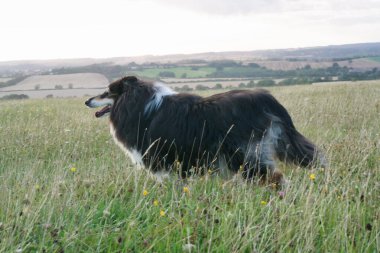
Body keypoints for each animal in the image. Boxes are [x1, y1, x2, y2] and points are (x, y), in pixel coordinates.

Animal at [86, 75, 326, 186]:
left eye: (106, 92)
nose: (86, 101)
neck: (139, 104)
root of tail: (266, 98)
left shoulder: (162, 160)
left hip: (247, 155)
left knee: (275, 179)